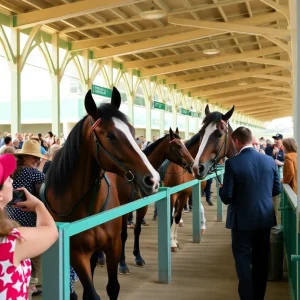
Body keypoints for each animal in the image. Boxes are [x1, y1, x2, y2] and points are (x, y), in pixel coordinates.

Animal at [44, 88, 161, 300]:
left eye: (132, 131)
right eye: (110, 135)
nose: (153, 179)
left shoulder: (112, 245)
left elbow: (113, 287)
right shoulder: (77, 253)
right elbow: (91, 293)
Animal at [164, 104, 237, 252]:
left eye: (220, 134)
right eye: (201, 133)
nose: (197, 168)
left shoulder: (191, 191)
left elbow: (196, 208)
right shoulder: (175, 194)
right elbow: (173, 215)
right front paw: (171, 242)